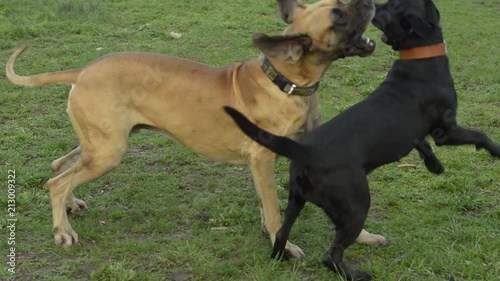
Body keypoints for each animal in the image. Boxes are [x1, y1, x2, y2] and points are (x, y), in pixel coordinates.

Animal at [5, 0, 384, 255]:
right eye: (338, 15)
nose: (370, 2)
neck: (285, 81)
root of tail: (82, 70)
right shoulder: (262, 160)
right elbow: (276, 210)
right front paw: (284, 246)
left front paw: (363, 237)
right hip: (108, 152)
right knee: (56, 182)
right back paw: (62, 231)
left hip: (99, 143)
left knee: (59, 166)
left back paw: (70, 207)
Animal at [224, 0, 500, 278]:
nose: (374, 4)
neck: (418, 58)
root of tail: (306, 151)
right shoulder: (446, 130)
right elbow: (480, 134)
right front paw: (495, 150)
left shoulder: (413, 133)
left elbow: (421, 144)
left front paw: (435, 166)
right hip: (356, 206)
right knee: (330, 255)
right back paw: (356, 274)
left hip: (296, 201)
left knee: (280, 232)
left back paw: (281, 256)